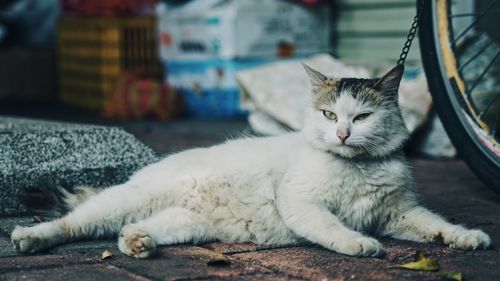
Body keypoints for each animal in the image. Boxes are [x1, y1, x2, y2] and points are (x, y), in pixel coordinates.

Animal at [11, 64, 492, 258]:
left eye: (361, 117)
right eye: (329, 115)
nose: (342, 133)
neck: (358, 166)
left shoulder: (399, 212)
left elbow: (436, 225)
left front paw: (466, 237)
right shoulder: (301, 202)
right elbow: (333, 227)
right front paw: (359, 244)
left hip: (185, 224)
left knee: (131, 229)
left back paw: (137, 243)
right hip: (122, 202)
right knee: (72, 224)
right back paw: (30, 238)